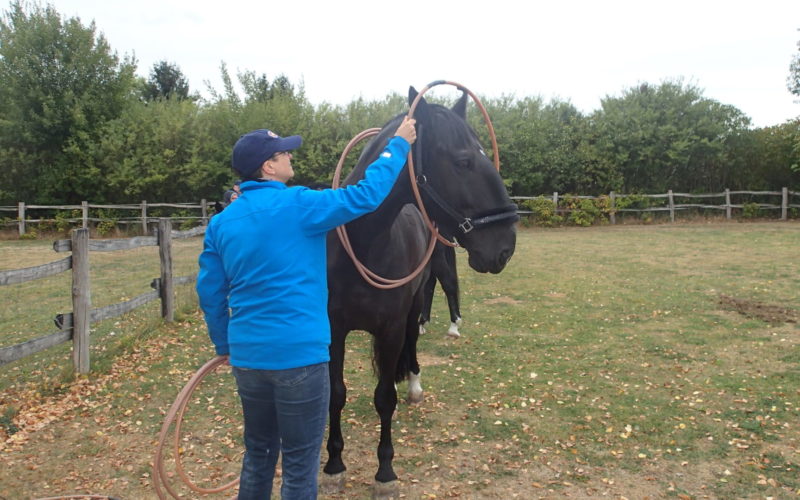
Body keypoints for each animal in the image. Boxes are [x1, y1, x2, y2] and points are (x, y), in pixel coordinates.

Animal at [324, 87, 520, 492]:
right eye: (463, 161)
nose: (505, 246)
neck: (363, 247)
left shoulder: (391, 327)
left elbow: (385, 398)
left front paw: (385, 472)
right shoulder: (333, 331)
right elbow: (336, 395)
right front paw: (334, 465)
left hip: (413, 307)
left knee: (415, 338)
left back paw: (414, 385)